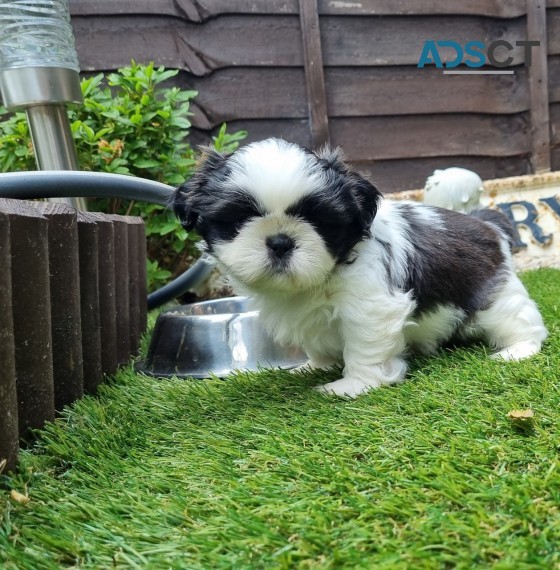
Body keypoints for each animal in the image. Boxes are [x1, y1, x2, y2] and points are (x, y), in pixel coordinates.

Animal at [172, 139, 548, 394]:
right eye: (239, 218)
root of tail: (486, 223)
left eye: (319, 220)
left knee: (520, 320)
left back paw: (518, 349)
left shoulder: (370, 306)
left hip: (493, 295)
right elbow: (315, 341)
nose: (280, 241)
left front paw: (352, 385)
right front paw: (314, 366)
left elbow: (365, 345)